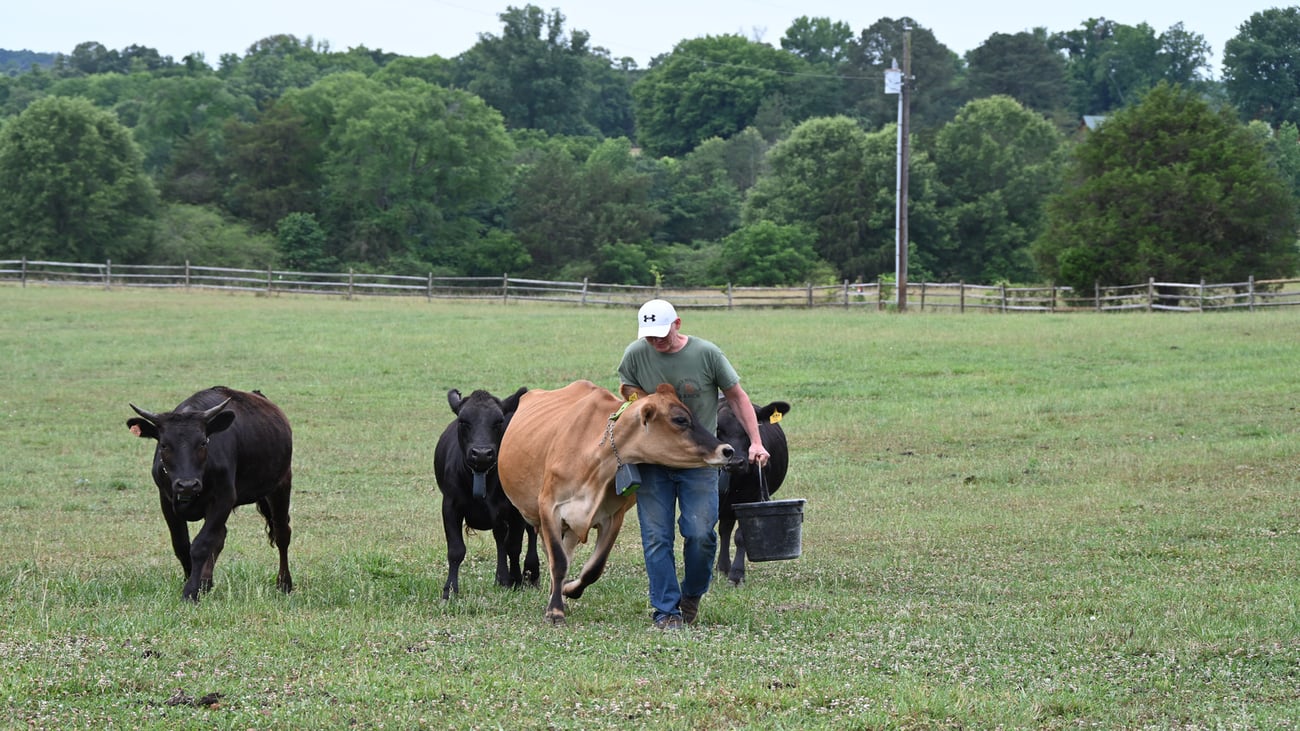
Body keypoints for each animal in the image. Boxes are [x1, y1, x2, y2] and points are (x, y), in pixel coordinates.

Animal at [126, 386, 294, 602]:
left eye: (203, 443)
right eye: (164, 445)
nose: (187, 485)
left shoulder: (223, 498)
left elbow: (201, 545)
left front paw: (190, 591)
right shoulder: (166, 499)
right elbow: (182, 545)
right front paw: (192, 580)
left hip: (281, 484)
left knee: (282, 533)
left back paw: (284, 583)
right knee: (220, 536)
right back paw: (206, 583)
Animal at [433, 386, 537, 599]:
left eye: (498, 421)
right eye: (463, 421)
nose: (481, 454)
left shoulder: (515, 510)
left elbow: (514, 546)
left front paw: (517, 580)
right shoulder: (450, 506)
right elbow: (456, 550)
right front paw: (450, 590)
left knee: (530, 533)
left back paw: (531, 574)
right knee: (500, 539)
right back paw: (501, 578)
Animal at [498, 380, 734, 625]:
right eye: (680, 419)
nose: (727, 450)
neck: (596, 461)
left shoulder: (613, 517)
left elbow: (594, 568)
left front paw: (568, 590)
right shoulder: (549, 508)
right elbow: (559, 562)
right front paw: (555, 611)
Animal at [716, 398, 790, 586]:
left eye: (751, 429)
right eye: (718, 430)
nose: (735, 462)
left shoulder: (752, 498)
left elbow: (742, 535)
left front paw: (736, 574)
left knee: (726, 528)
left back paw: (724, 566)